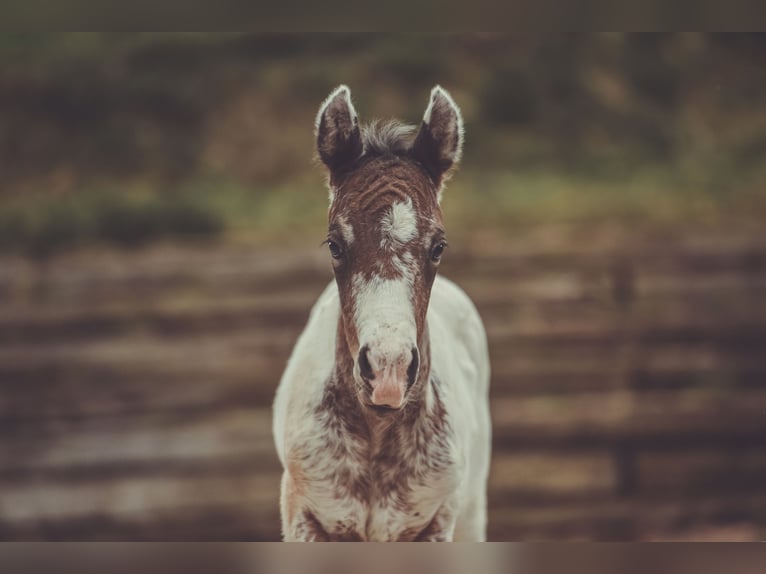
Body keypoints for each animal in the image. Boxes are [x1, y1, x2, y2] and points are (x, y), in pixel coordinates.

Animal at [272, 85, 491, 541]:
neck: (376, 434)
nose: (388, 370)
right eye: (335, 244)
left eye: (438, 246)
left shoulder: (437, 522)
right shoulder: (305, 518)